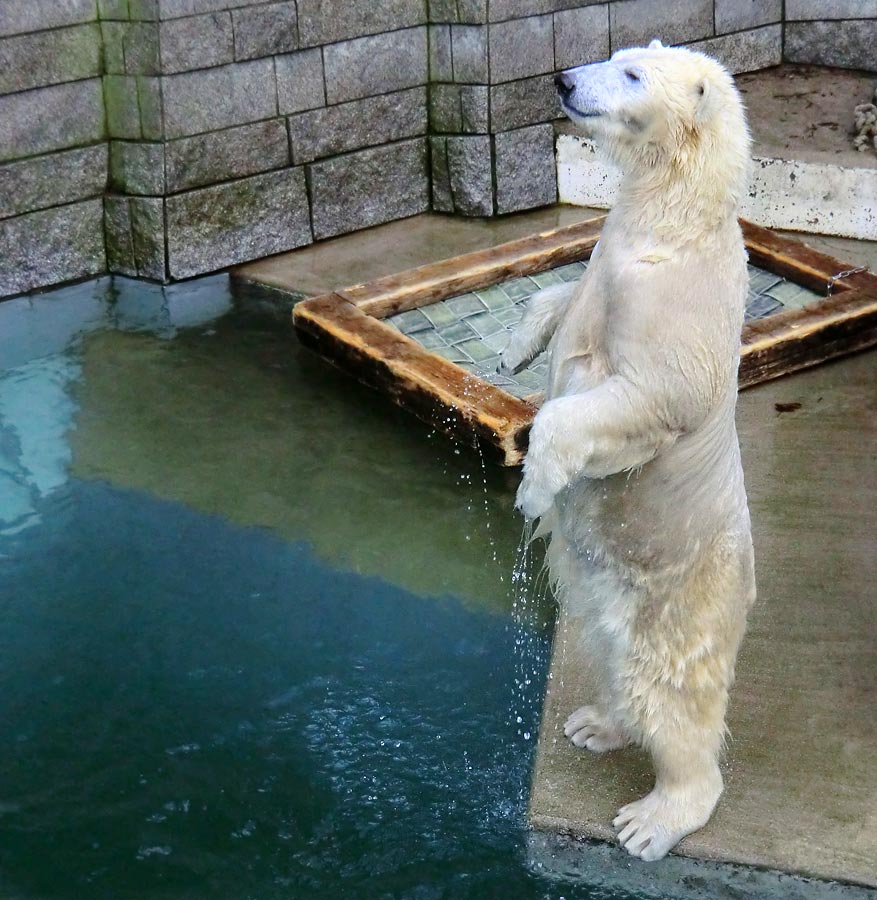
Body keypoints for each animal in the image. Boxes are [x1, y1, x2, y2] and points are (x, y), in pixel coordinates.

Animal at [504, 44, 756, 864]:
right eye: (616, 59)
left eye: (633, 76)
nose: (563, 79)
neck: (671, 220)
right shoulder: (605, 260)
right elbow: (560, 299)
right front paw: (517, 347)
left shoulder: (675, 310)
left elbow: (642, 396)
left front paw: (533, 483)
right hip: (605, 589)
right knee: (608, 648)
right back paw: (595, 723)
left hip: (683, 600)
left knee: (671, 696)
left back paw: (653, 818)